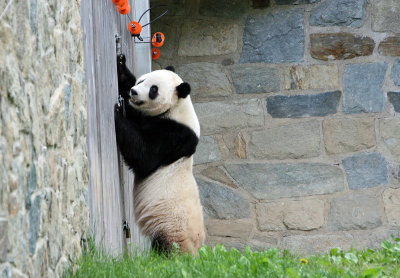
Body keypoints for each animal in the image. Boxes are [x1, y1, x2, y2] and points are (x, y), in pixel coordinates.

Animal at [114, 53, 205, 255]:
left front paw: (118, 113)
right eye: (142, 80)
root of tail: (197, 249)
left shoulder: (175, 135)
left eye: (153, 90)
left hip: (171, 226)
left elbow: (145, 157)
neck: (177, 106)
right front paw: (120, 63)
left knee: (167, 245)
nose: (134, 92)